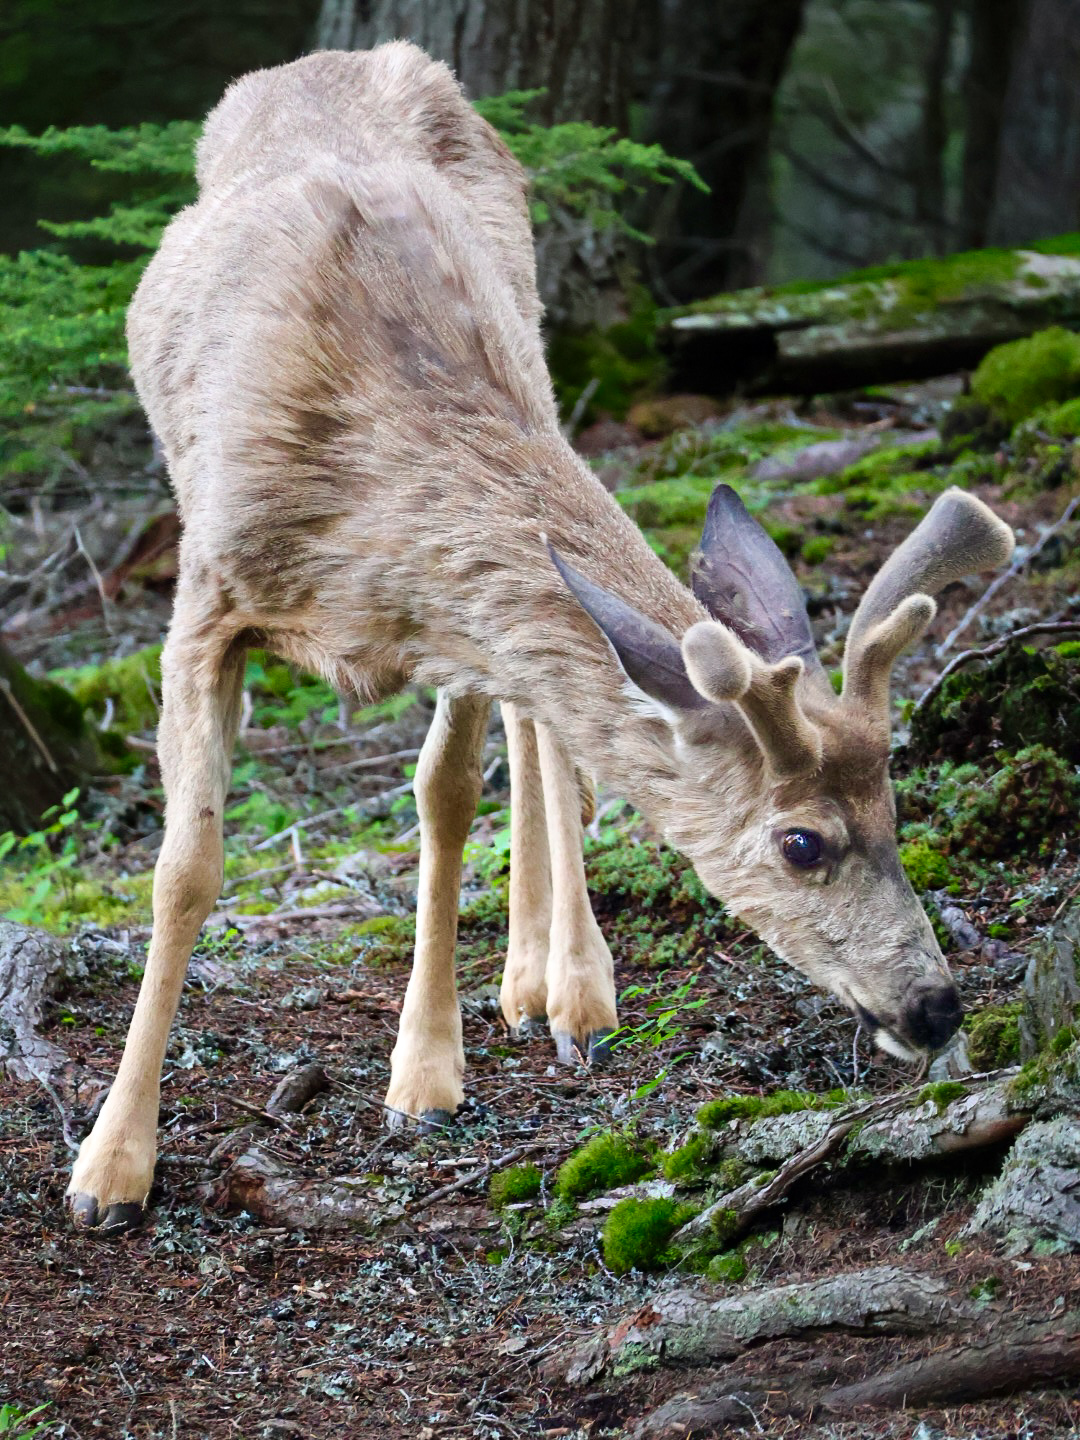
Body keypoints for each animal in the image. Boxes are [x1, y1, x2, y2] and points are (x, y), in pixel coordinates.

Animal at [67, 41, 1014, 1232]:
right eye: (802, 843)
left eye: (897, 805)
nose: (935, 1006)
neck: (364, 504)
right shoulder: (206, 595)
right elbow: (185, 869)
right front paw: (110, 1166)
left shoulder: (449, 614)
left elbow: (445, 795)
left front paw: (425, 1072)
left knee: (538, 739)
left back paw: (561, 981)